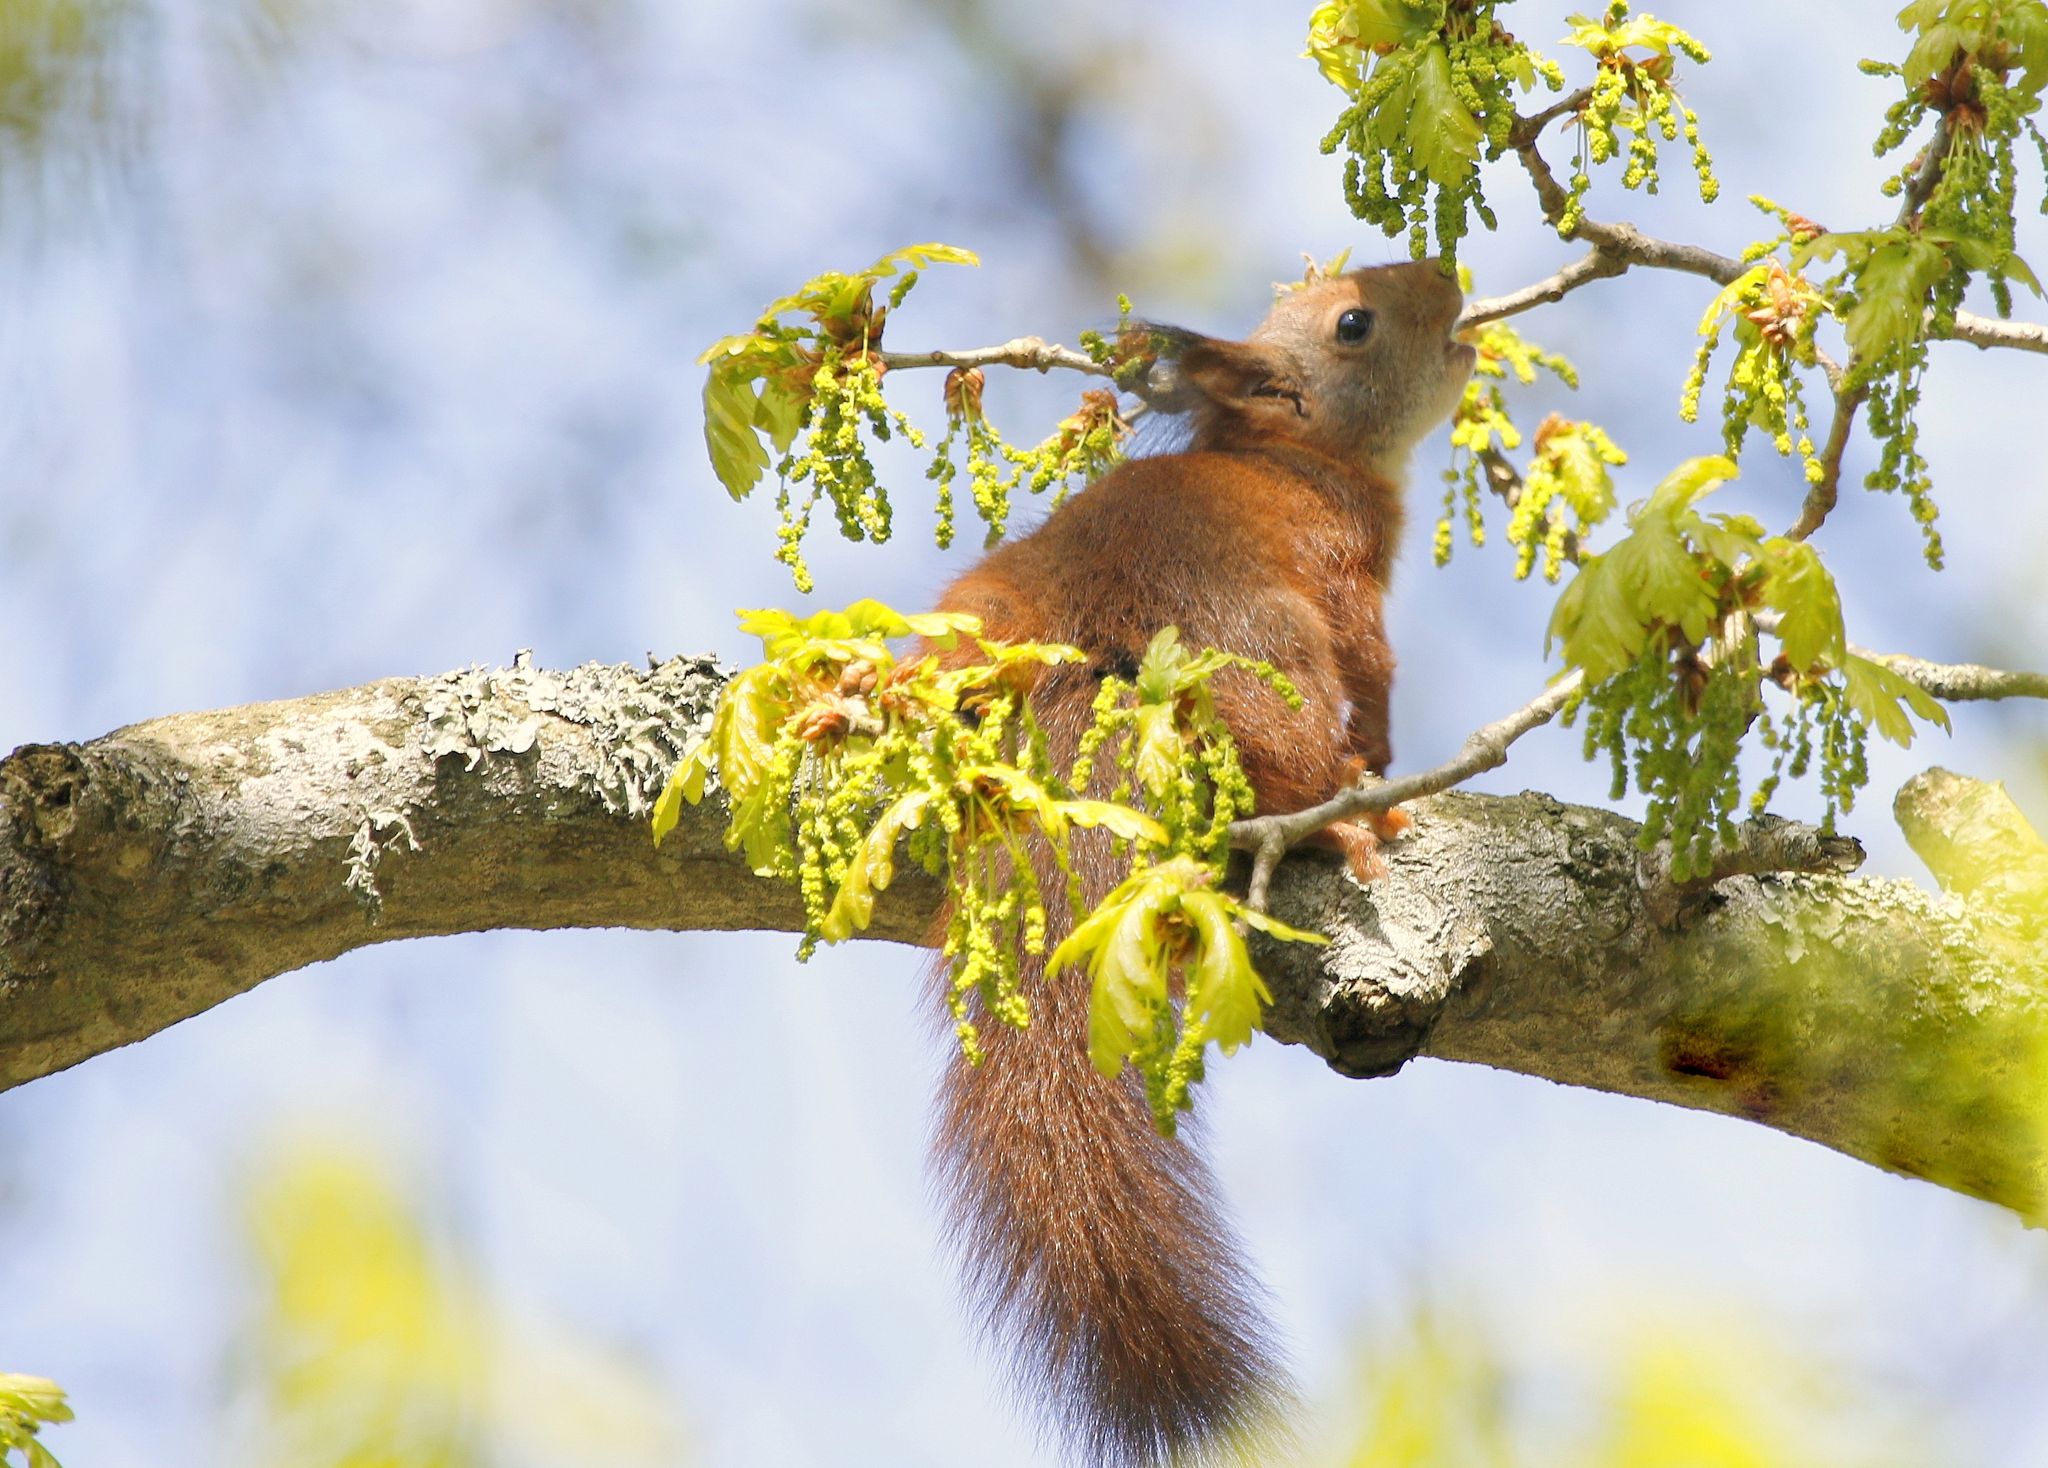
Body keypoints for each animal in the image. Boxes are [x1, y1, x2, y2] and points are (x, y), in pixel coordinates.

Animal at [929, 266, 1474, 1465]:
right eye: (1353, 323)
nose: (1447, 275)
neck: (1288, 454)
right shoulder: (1344, 566)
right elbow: (1376, 672)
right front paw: (1383, 761)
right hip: (1264, 653)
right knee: (1295, 750)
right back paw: (1343, 818)